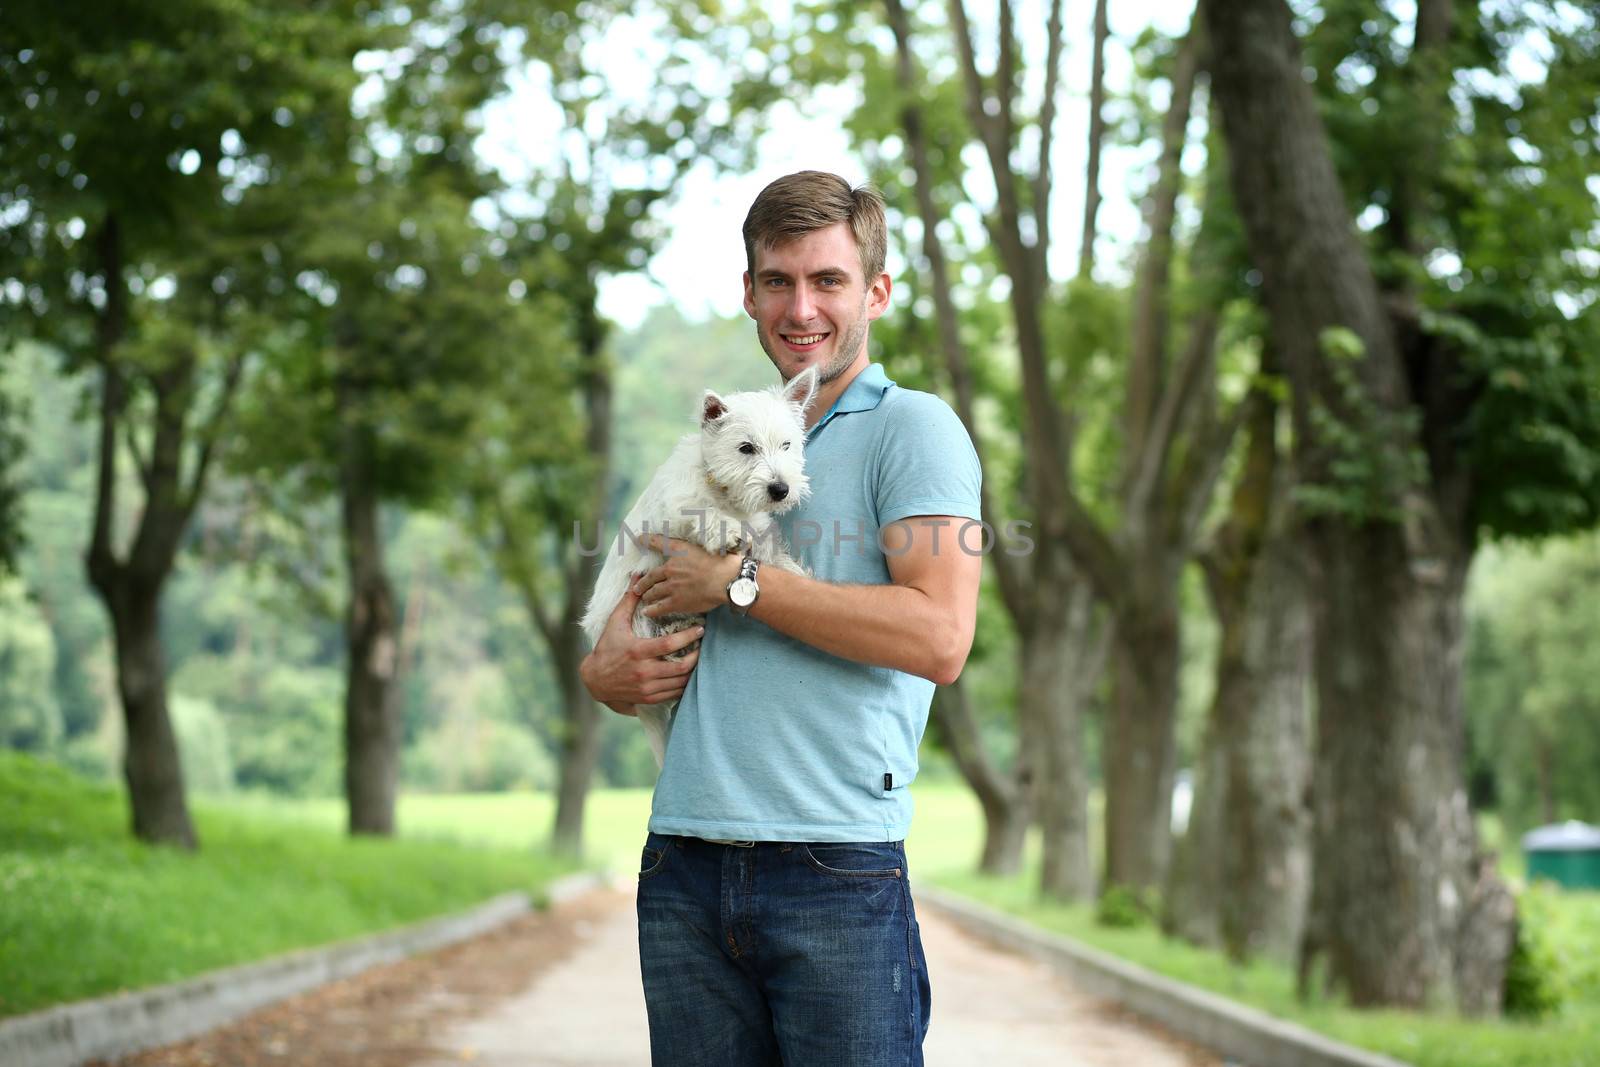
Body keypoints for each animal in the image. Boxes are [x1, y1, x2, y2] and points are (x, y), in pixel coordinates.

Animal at [582, 367, 819, 767]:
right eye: (746, 448)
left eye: (787, 445)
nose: (780, 489)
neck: (726, 493)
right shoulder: (677, 509)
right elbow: (707, 516)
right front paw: (728, 533)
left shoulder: (761, 535)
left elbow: (773, 559)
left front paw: (799, 577)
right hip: (635, 618)